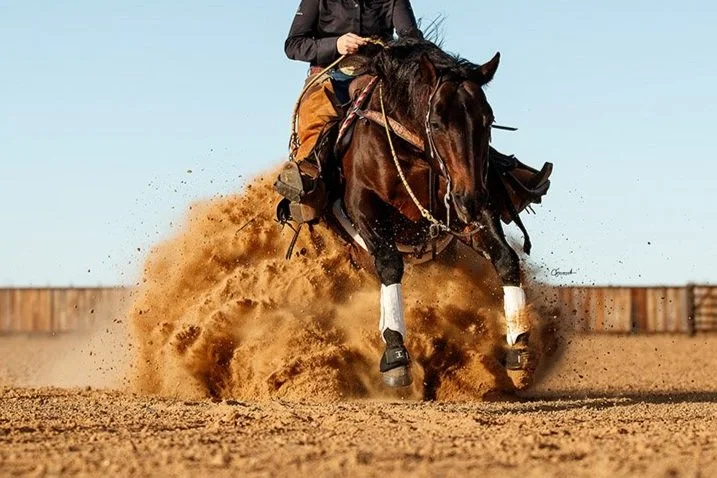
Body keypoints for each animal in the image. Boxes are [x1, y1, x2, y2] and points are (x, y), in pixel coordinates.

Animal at [294, 38, 547, 387]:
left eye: (487, 120)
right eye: (437, 122)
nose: (470, 198)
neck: (412, 150)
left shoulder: (467, 207)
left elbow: (506, 258)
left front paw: (519, 346)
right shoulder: (361, 204)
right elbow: (389, 264)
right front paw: (395, 353)